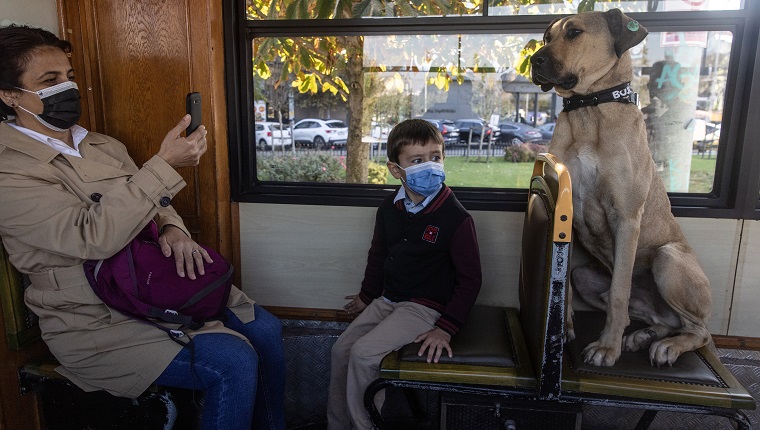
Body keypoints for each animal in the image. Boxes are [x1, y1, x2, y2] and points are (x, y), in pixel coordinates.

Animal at [528, 9, 712, 366]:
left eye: (574, 32)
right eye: (546, 37)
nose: (534, 59)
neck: (589, 108)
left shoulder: (626, 218)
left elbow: (619, 292)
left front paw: (606, 348)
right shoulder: (566, 213)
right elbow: (566, 286)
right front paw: (564, 327)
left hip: (668, 259)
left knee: (700, 331)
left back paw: (668, 345)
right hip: (587, 277)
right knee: (656, 319)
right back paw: (646, 335)